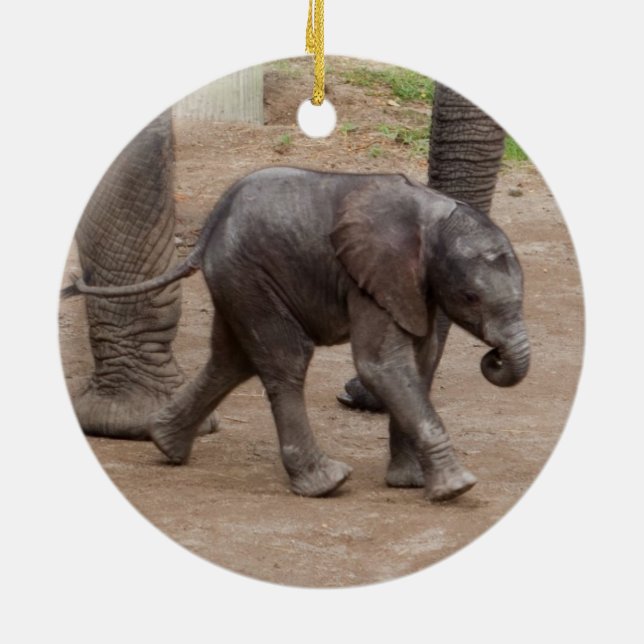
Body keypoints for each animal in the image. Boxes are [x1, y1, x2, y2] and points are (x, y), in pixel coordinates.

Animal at [63, 166, 530, 502]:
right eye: (470, 297)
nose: (494, 358)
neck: (435, 216)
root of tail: (209, 228)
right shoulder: (370, 277)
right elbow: (381, 366)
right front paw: (457, 488)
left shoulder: (414, 286)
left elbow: (422, 361)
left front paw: (410, 483)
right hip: (250, 275)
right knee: (285, 361)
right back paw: (326, 483)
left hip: (238, 280)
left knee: (231, 360)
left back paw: (166, 444)